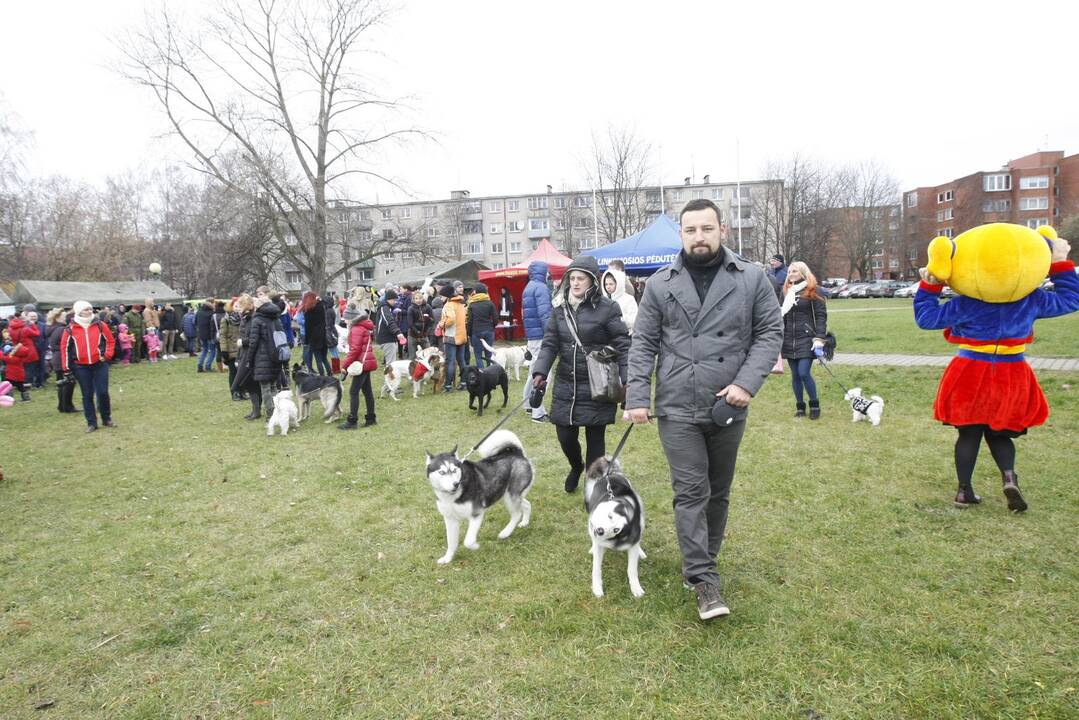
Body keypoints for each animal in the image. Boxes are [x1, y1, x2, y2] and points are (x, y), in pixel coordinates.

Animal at [425, 431, 535, 565]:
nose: (456, 484)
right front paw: (447, 558)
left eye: (455, 470)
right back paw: (524, 522)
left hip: (510, 496)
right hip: (509, 495)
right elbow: (451, 542)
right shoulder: (450, 519)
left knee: (517, 513)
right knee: (527, 504)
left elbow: (468, 541)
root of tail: (517, 453)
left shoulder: (476, 514)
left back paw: (505, 533)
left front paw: (475, 546)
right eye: (442, 472)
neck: (452, 497)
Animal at [586, 459, 643, 600]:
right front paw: (597, 588)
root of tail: (611, 473)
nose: (600, 531)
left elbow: (632, 569)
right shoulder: (598, 542)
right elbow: (596, 568)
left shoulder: (633, 538)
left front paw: (636, 588)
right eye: (610, 516)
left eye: (616, 530)